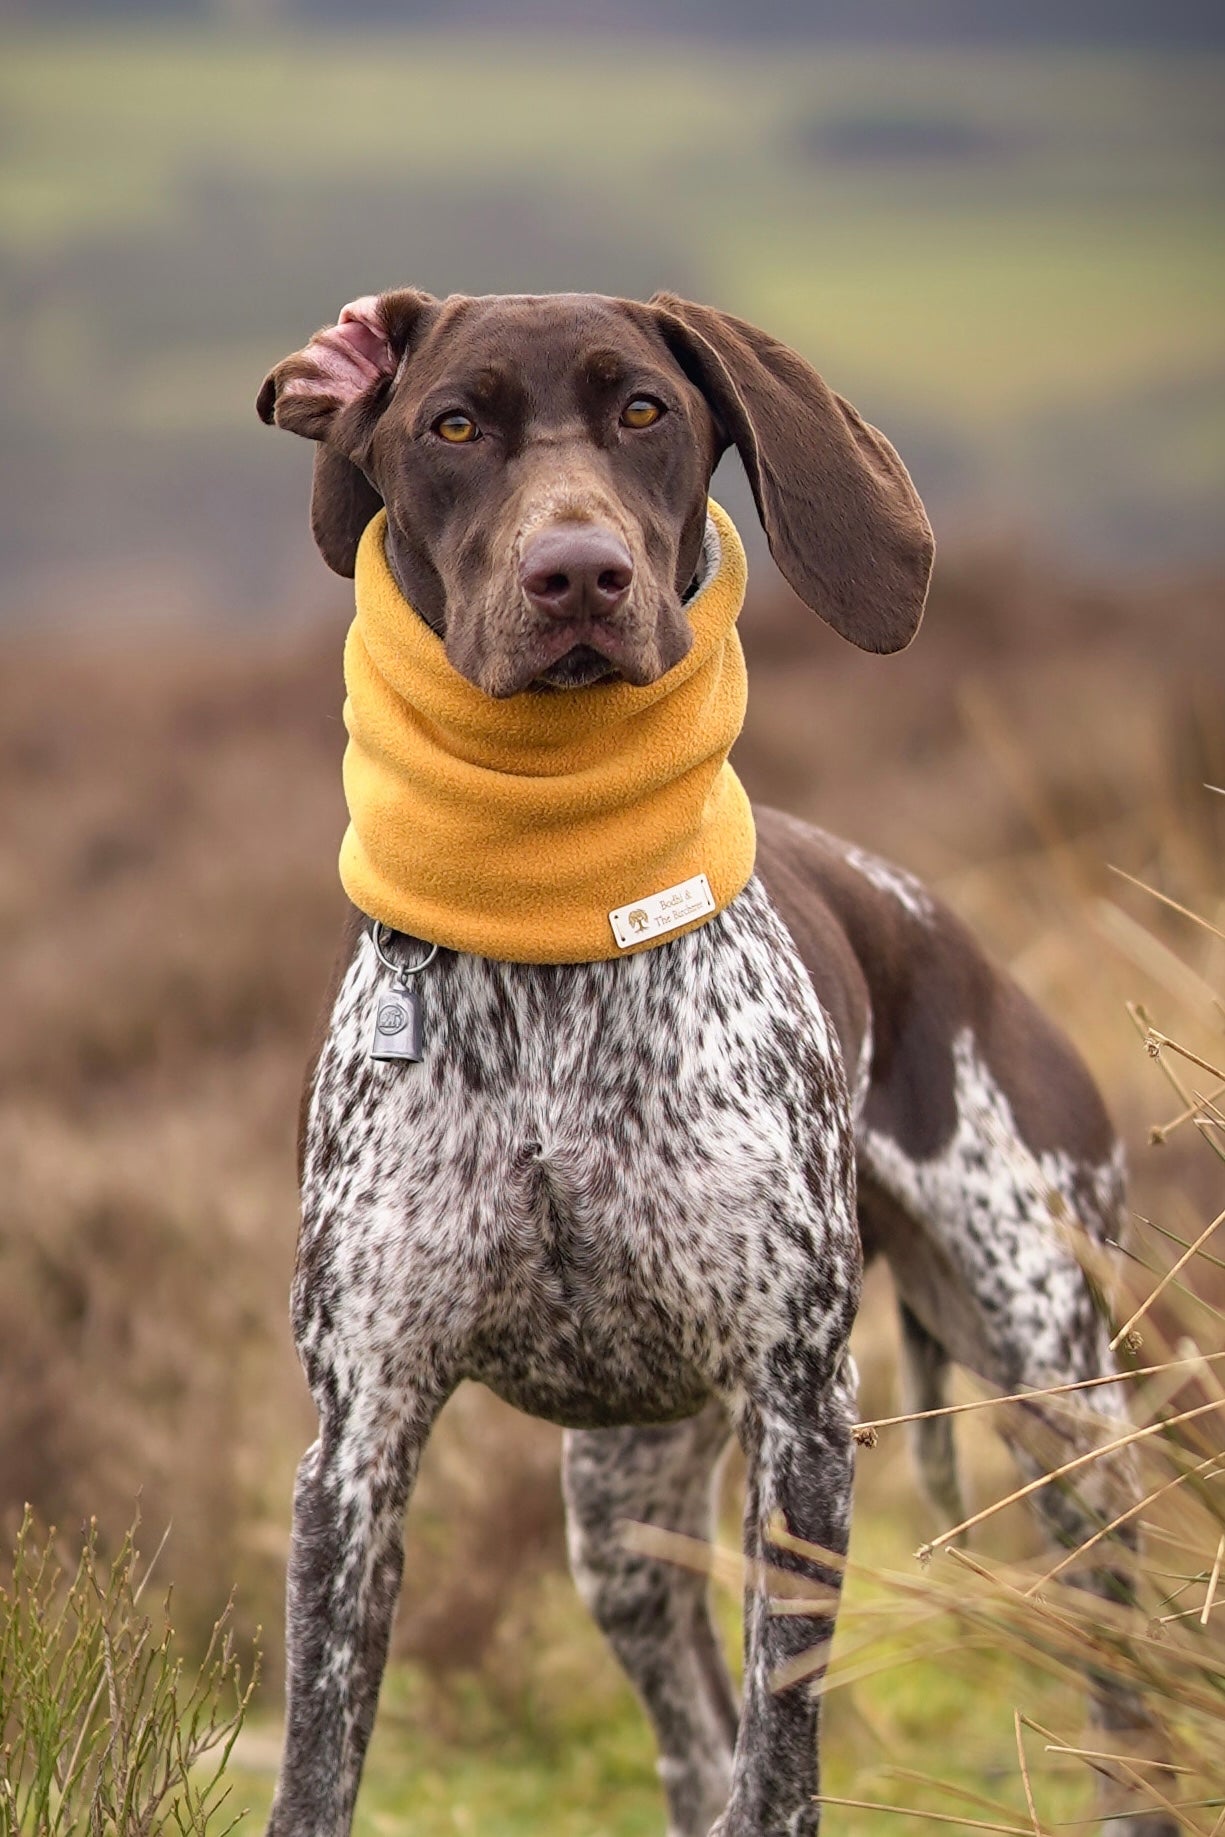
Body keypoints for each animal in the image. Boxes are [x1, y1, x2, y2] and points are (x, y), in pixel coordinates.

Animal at [257, 290, 1168, 1837]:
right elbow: (320, 1763)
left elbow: (781, 1755)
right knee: (686, 1731)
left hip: (1058, 1400)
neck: (557, 938)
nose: (579, 573)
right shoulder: (361, 1433)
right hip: (621, 1515)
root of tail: (956, 941)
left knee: (1125, 1683)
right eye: (452, 424)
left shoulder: (800, 1416)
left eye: (645, 412)